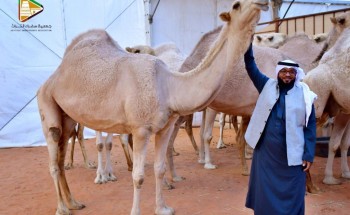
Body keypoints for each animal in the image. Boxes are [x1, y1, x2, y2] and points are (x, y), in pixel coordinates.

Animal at [37, 0, 270, 214]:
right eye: (236, 5)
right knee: (53, 158)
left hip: (67, 116)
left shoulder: (165, 127)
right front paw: (136, 211)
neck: (170, 85)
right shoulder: (141, 129)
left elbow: (159, 169)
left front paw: (163, 208)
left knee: (61, 156)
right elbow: (138, 176)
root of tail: (52, 78)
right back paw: (62, 208)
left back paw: (74, 202)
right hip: (46, 102)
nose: (261, 2)